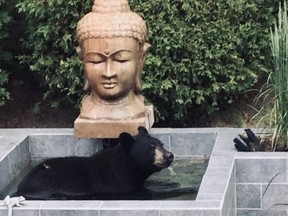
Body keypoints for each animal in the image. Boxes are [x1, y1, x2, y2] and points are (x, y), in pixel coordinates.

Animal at [15, 127, 173, 200]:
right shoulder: (117, 184)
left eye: (161, 144)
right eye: (151, 147)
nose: (169, 156)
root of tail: (21, 186)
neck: (128, 167)